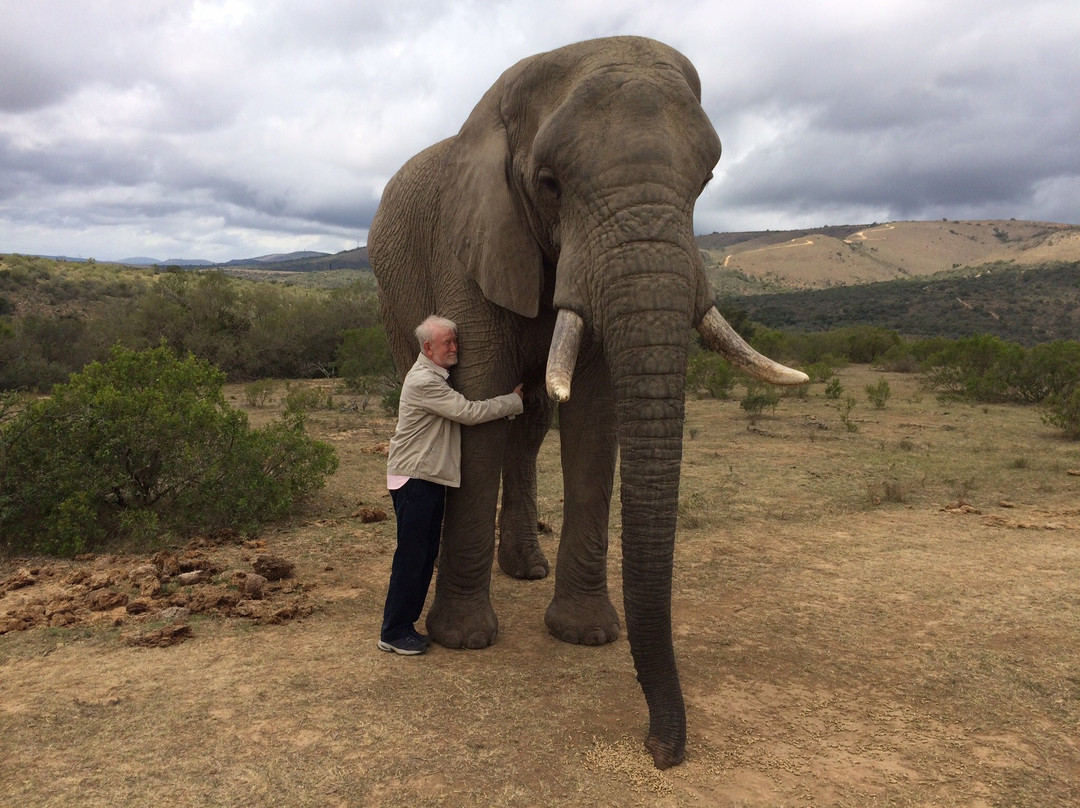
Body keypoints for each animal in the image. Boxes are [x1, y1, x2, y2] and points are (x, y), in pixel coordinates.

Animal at [367, 36, 807, 769]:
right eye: (549, 184)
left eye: (707, 182)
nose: (660, 749)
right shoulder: (471, 241)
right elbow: (476, 399)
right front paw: (463, 640)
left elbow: (594, 419)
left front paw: (586, 635)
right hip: (393, 296)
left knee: (531, 427)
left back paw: (525, 569)